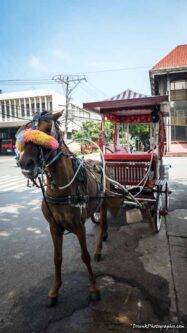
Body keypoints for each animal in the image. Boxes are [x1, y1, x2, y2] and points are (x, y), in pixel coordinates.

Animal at [17, 111, 122, 306]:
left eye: (47, 131)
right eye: (25, 133)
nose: (25, 163)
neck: (62, 190)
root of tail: (98, 162)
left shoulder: (79, 226)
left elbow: (85, 256)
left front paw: (94, 288)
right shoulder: (54, 227)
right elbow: (57, 258)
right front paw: (55, 290)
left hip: (103, 203)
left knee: (103, 224)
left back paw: (99, 248)